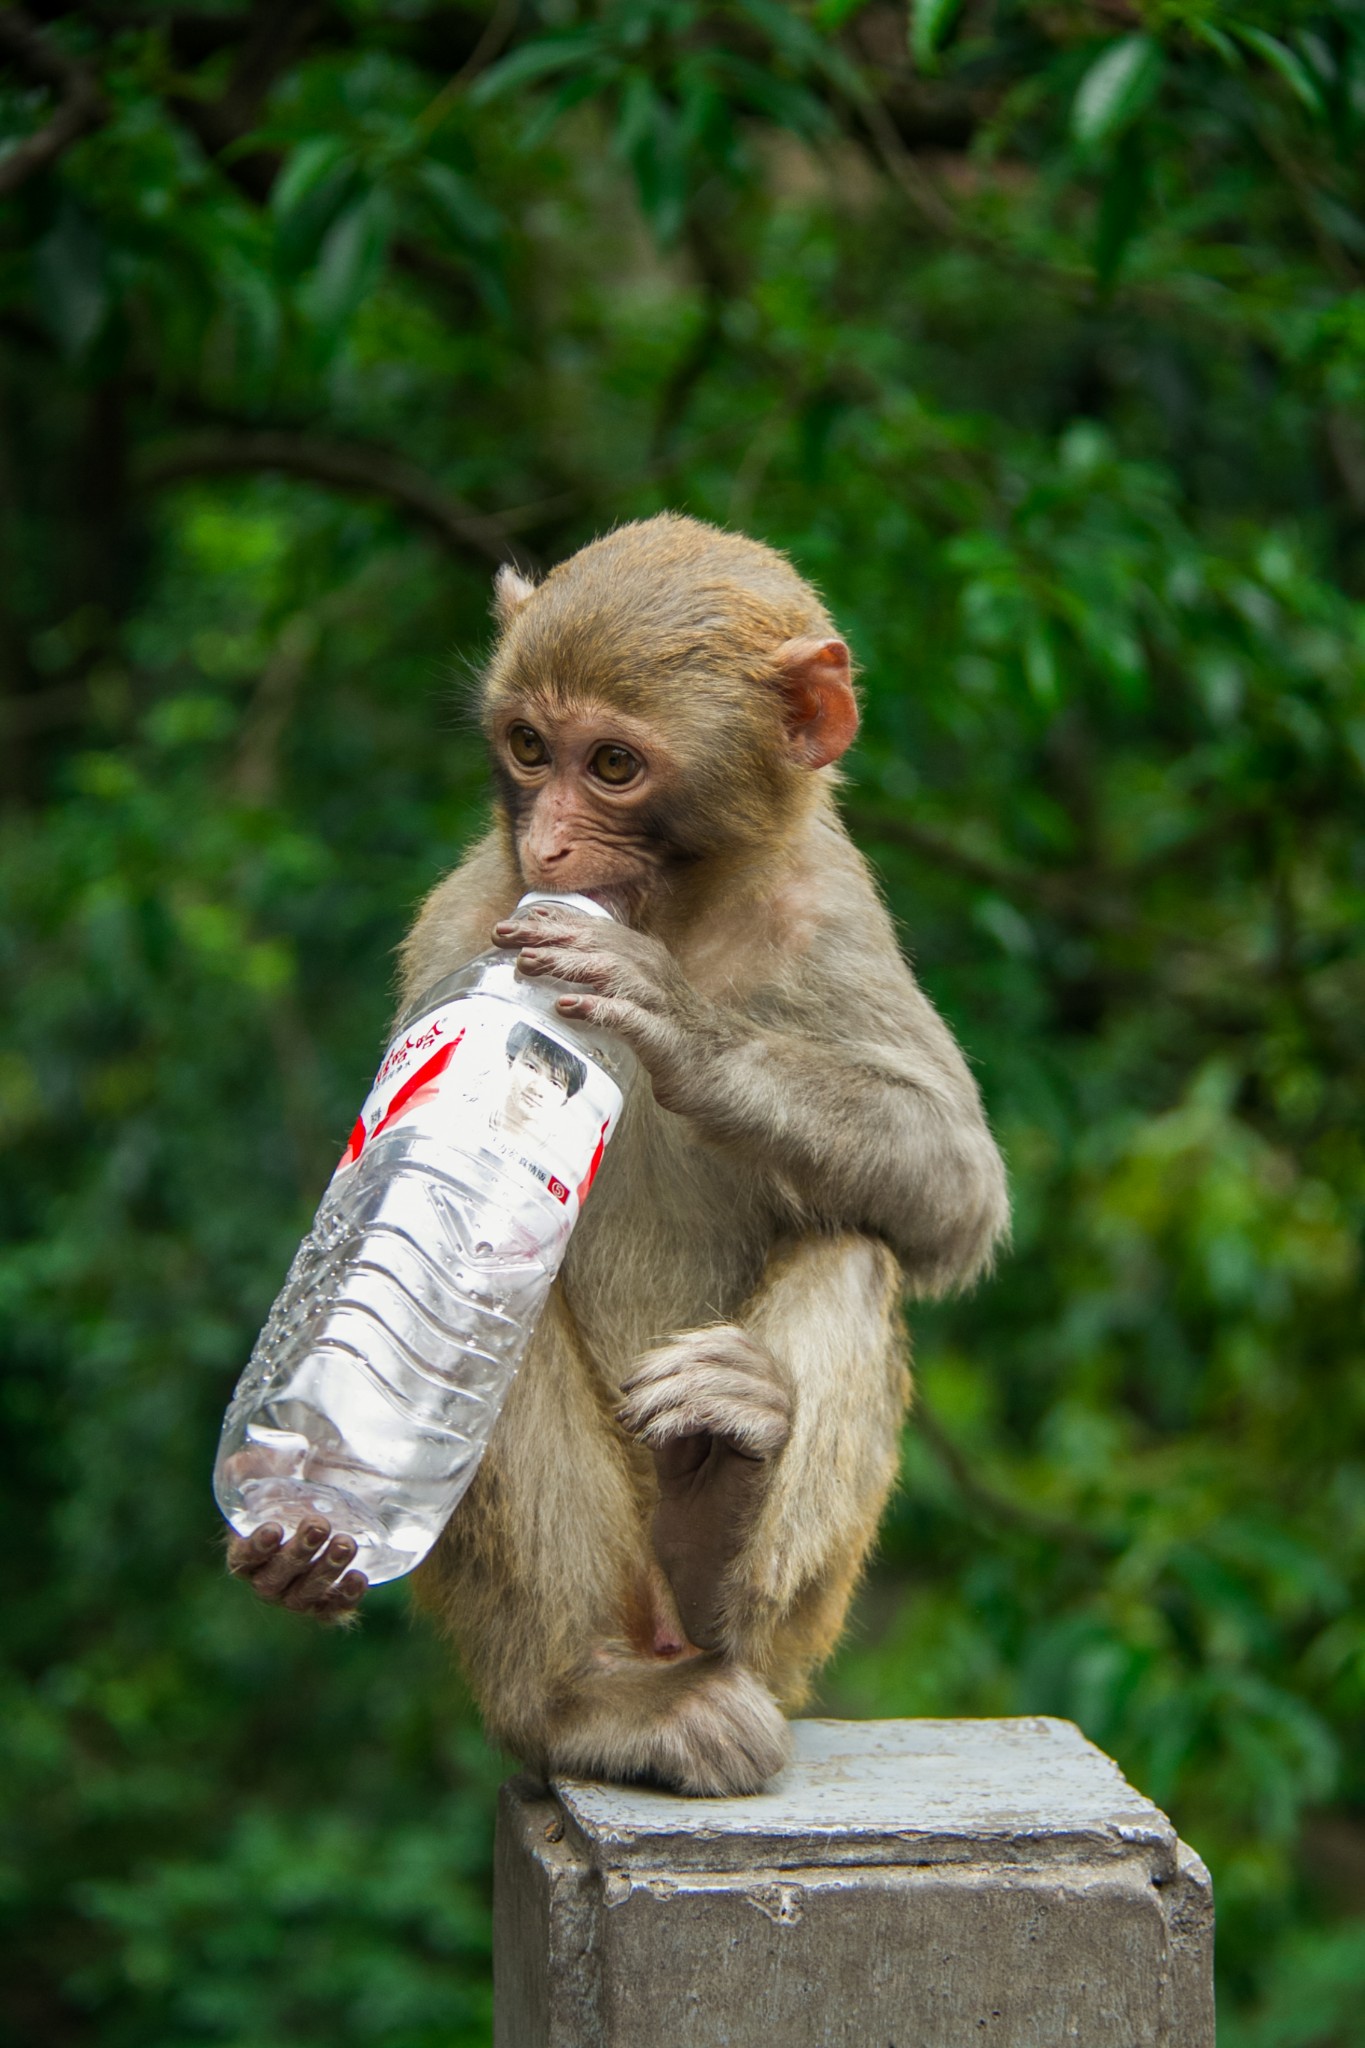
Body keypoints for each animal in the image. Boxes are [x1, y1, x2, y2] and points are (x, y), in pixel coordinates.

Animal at [229, 512, 1010, 1794]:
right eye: (528, 746)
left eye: (612, 766)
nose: (550, 845)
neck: (680, 913)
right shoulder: (463, 918)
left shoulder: (836, 914)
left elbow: (955, 1188)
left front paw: (672, 1021)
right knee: (501, 1312)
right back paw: (580, 1698)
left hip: (796, 1632)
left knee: (853, 1250)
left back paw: (719, 1520)